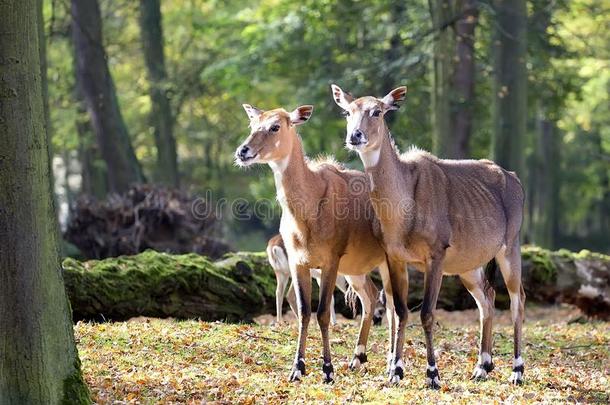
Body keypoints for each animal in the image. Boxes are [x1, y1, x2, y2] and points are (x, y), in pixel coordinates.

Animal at [233, 104, 394, 382]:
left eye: (275, 126)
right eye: (253, 125)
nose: (243, 151)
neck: (310, 206)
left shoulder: (330, 262)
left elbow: (323, 313)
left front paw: (327, 369)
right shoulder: (300, 263)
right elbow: (304, 312)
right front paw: (297, 369)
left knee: (394, 307)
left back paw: (392, 364)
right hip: (355, 270)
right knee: (371, 297)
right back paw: (357, 358)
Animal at [330, 83, 524, 388]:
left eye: (377, 111)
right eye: (347, 112)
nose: (355, 136)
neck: (403, 208)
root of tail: (514, 178)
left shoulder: (436, 255)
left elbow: (427, 313)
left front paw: (432, 374)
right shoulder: (395, 257)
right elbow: (400, 310)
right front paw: (396, 371)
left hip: (510, 248)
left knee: (517, 301)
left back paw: (517, 370)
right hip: (468, 265)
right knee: (487, 300)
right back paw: (482, 367)